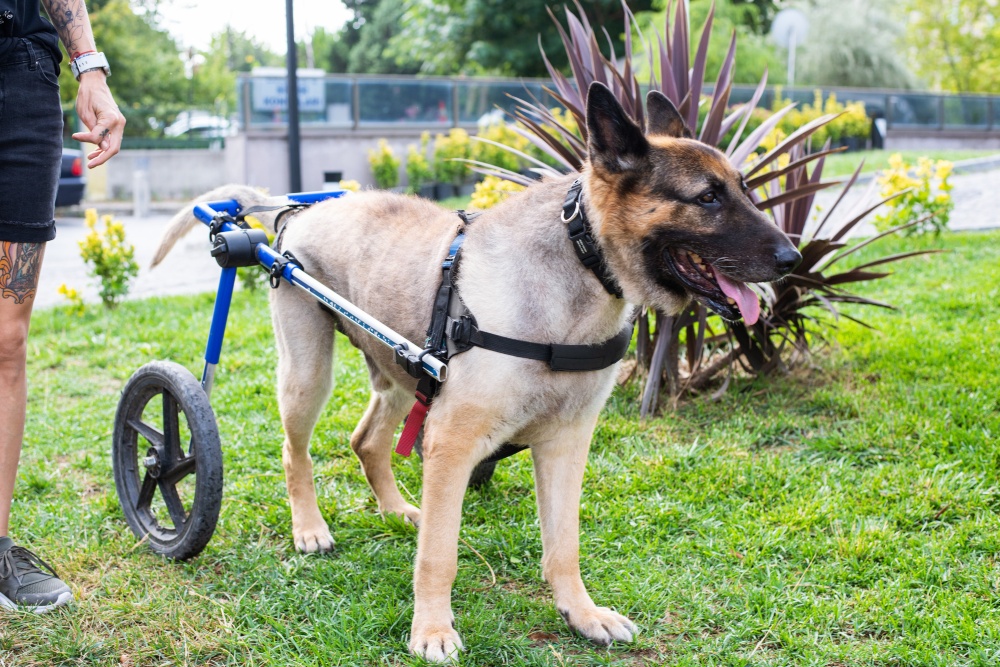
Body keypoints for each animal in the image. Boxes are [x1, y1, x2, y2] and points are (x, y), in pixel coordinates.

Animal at [152, 81, 800, 660]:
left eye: (745, 189)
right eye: (708, 198)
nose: (792, 258)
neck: (580, 259)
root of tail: (294, 211)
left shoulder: (564, 445)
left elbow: (563, 544)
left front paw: (581, 613)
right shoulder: (452, 442)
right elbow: (440, 553)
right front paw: (432, 630)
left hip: (402, 375)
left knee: (367, 442)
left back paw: (396, 511)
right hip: (309, 375)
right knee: (295, 453)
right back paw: (307, 526)